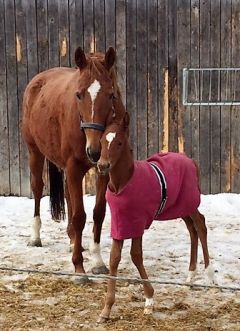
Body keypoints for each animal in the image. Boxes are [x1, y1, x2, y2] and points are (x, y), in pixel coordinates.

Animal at [22, 46, 125, 274]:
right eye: (78, 95)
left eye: (111, 95)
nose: (94, 151)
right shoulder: (73, 167)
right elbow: (79, 216)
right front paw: (79, 268)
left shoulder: (102, 171)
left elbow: (98, 213)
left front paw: (97, 261)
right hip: (35, 152)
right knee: (37, 188)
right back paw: (35, 237)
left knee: (69, 195)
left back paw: (71, 240)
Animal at [96, 113, 217, 322]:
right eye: (103, 140)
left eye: (119, 142)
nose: (102, 165)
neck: (123, 183)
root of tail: (190, 161)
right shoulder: (120, 223)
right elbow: (114, 258)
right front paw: (106, 310)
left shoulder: (137, 222)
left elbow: (135, 255)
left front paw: (149, 300)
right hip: (180, 207)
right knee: (192, 229)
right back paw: (190, 277)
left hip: (190, 203)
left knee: (200, 225)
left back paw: (209, 277)